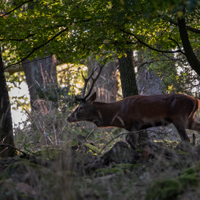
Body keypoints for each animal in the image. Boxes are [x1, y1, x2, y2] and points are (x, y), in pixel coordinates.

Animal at [67, 65, 200, 149]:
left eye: (80, 108)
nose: (69, 118)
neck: (118, 114)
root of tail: (196, 101)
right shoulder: (131, 126)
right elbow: (130, 140)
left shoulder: (137, 121)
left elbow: (130, 140)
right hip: (189, 118)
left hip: (179, 116)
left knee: (186, 139)